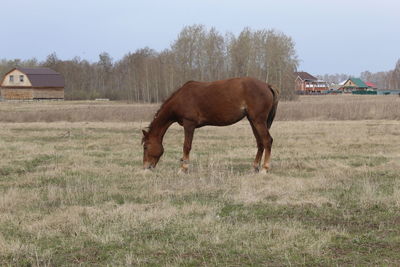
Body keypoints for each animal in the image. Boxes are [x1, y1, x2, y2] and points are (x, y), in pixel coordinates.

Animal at [142, 77, 280, 174]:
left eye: (145, 147)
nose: (145, 167)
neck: (181, 98)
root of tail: (267, 85)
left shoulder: (189, 124)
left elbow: (186, 146)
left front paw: (183, 168)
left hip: (258, 120)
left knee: (267, 140)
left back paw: (265, 168)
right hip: (253, 121)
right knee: (260, 143)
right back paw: (255, 167)